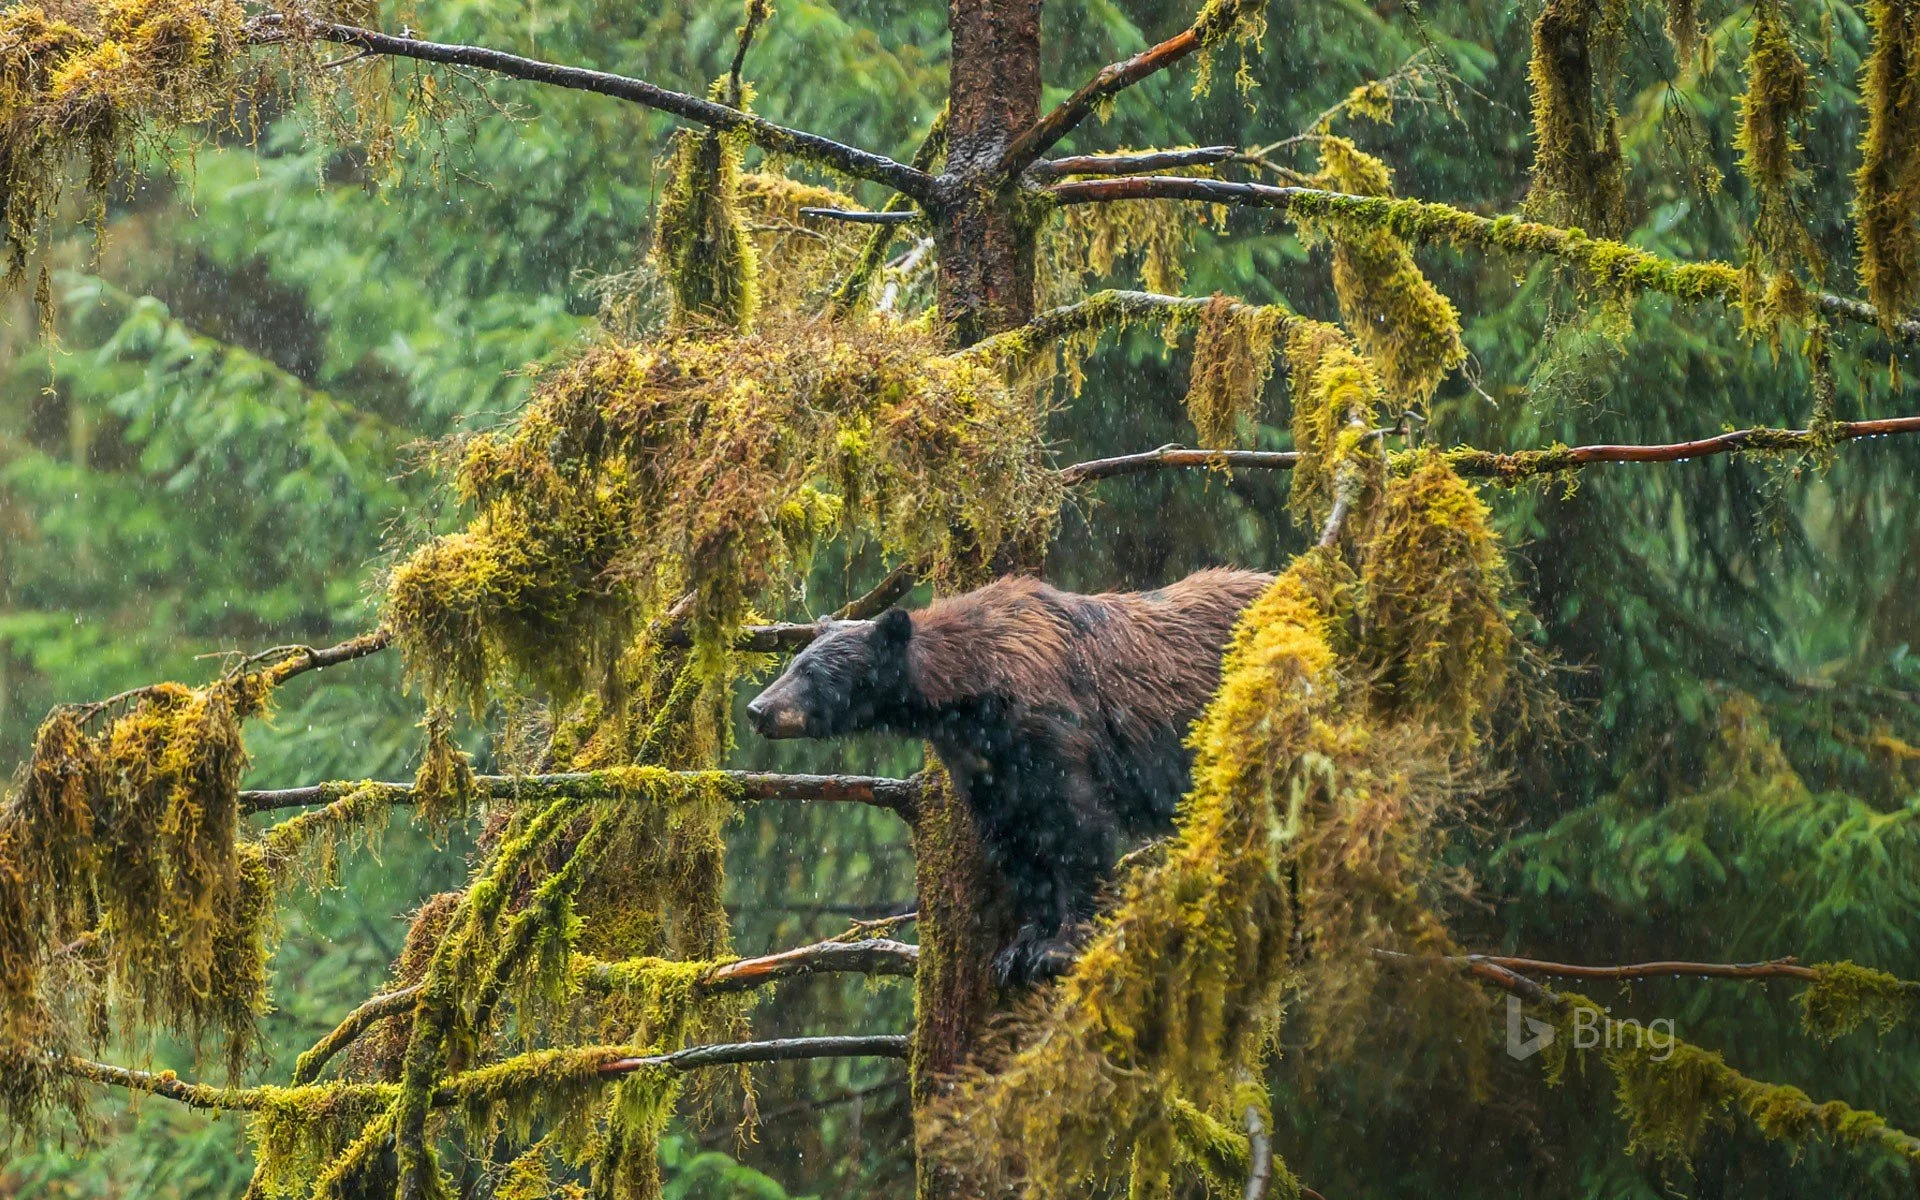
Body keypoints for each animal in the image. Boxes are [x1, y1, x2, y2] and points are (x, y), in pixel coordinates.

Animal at [745, 567, 1275, 984]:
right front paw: (1020, 948)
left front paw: (1061, 946)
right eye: (793, 662)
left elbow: (1076, 829)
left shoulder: (1053, 730)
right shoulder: (987, 769)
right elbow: (1017, 845)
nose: (757, 709)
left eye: (812, 673)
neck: (972, 694)